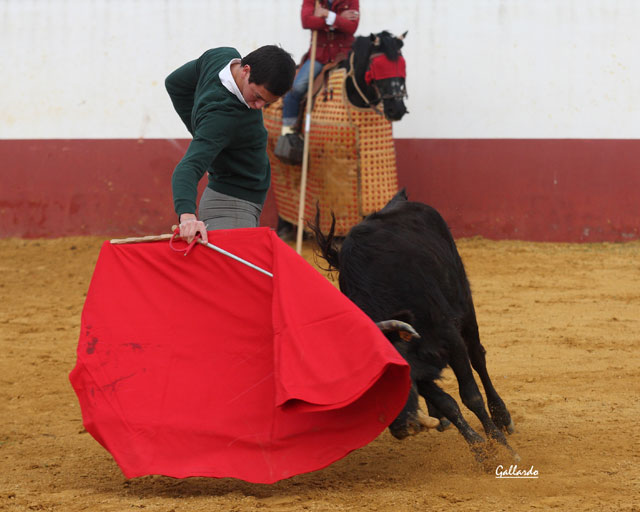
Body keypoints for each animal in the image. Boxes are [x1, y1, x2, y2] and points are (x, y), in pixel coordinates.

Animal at [312, 190, 520, 462]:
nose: (402, 427)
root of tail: (400, 200)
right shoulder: (418, 364)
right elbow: (448, 404)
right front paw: (482, 453)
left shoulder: (450, 338)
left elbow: (471, 396)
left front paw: (502, 447)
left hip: (464, 303)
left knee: (478, 358)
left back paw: (502, 417)